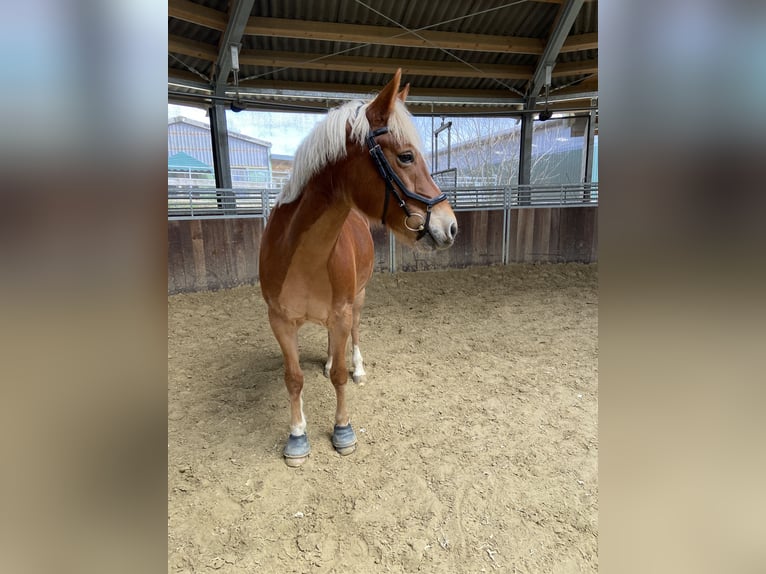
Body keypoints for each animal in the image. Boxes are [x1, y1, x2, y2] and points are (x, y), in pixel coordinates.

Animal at [259, 69, 458, 466]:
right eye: (406, 156)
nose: (451, 226)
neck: (303, 256)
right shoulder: (280, 321)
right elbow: (294, 378)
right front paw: (297, 436)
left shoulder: (341, 311)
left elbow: (338, 374)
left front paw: (342, 430)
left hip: (359, 299)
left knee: (355, 334)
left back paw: (359, 367)